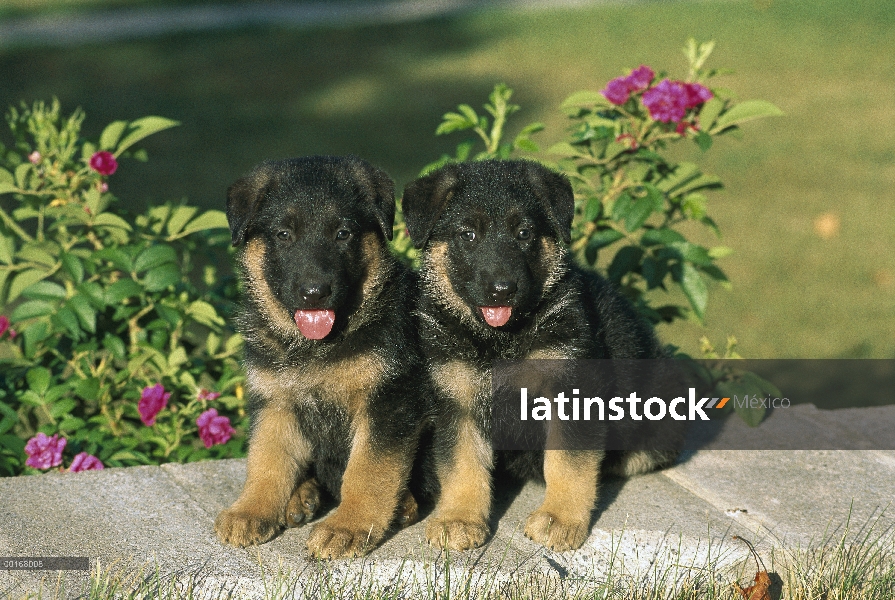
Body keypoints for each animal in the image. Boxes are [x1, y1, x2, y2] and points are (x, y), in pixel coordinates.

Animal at [215, 155, 428, 556]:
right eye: (283, 235)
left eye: (343, 234)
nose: (314, 294)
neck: (316, 346)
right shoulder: (275, 400)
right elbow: (267, 460)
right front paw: (251, 510)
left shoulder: (387, 402)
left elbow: (368, 470)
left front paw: (349, 526)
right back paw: (301, 496)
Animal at [402, 157, 684, 552]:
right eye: (467, 235)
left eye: (524, 233)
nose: (502, 290)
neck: (501, 339)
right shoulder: (456, 398)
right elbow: (462, 464)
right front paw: (459, 518)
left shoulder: (573, 391)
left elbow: (568, 462)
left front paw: (559, 518)